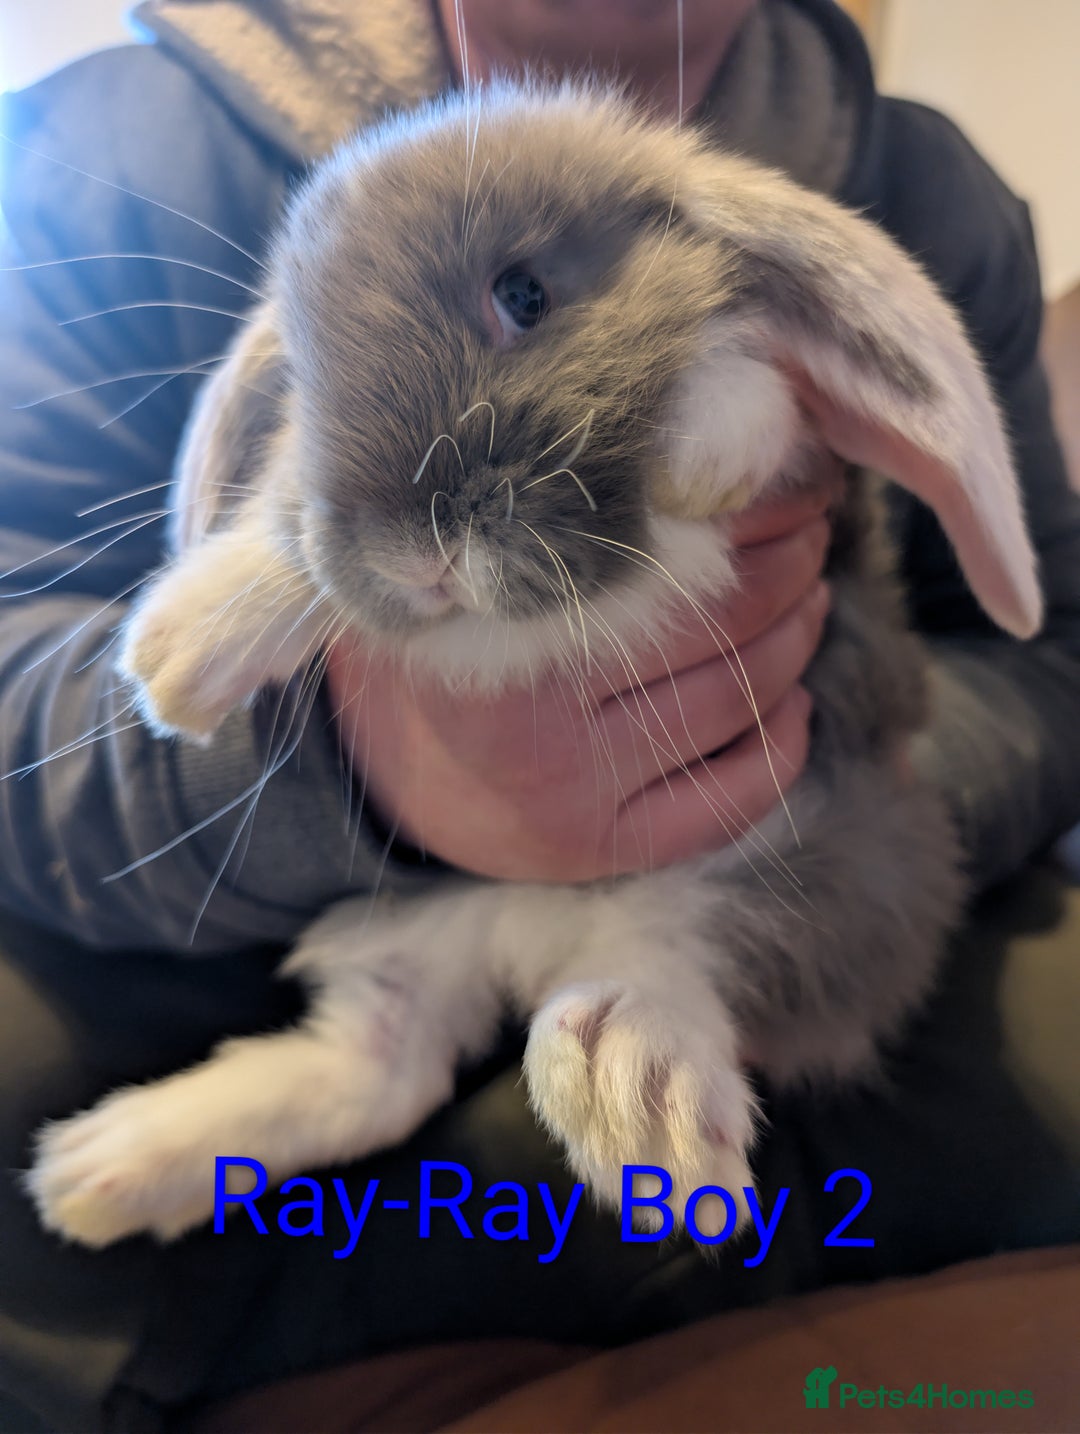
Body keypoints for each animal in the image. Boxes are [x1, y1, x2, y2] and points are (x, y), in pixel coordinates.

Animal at [27, 80, 1042, 1250]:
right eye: (303, 370)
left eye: (525, 295)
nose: (409, 555)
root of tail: (527, 940)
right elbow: (285, 509)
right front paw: (181, 652)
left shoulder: (813, 480)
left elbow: (749, 383)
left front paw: (697, 447)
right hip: (416, 929)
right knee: (382, 1067)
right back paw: (106, 1166)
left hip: (836, 857)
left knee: (691, 957)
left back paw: (636, 1094)